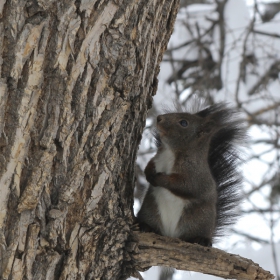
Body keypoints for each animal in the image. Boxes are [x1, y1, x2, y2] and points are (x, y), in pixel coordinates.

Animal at [137, 101, 246, 246]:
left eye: (184, 123)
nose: (159, 118)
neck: (170, 152)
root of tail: (170, 234)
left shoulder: (196, 174)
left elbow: (185, 186)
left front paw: (160, 179)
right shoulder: (156, 159)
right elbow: (149, 164)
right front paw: (148, 173)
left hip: (199, 221)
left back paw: (201, 240)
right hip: (150, 212)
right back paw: (145, 226)